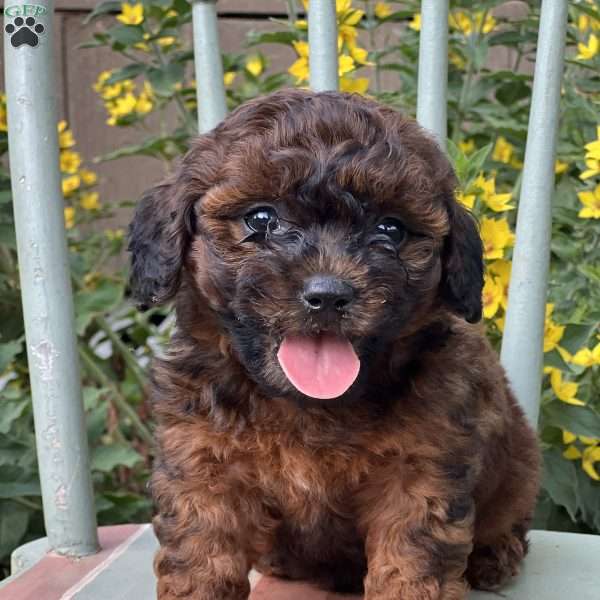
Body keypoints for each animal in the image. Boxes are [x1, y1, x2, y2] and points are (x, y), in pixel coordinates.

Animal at [129, 89, 540, 600]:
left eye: (391, 229)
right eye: (261, 218)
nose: (328, 294)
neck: (309, 405)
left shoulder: (422, 470)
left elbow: (411, 559)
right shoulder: (202, 460)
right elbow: (202, 555)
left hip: (519, 474)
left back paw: (494, 554)